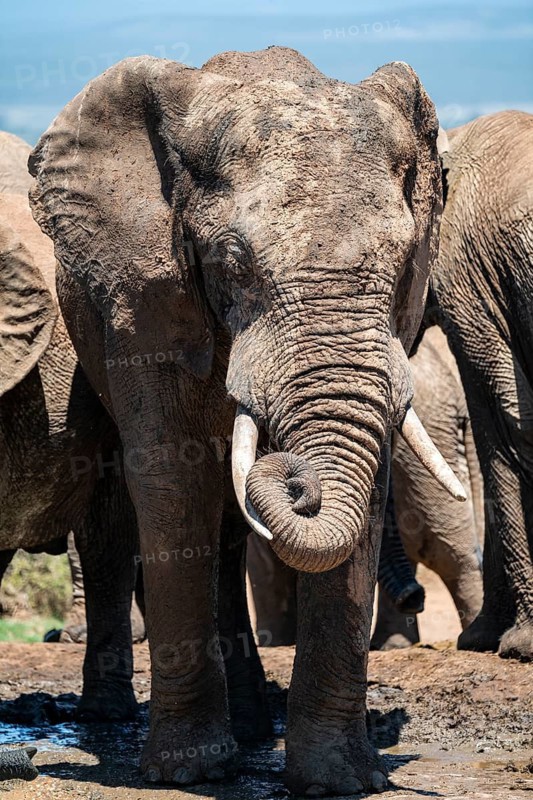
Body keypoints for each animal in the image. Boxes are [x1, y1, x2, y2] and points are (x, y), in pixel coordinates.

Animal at [28, 47, 463, 795]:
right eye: (233, 264)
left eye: (404, 260)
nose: (295, 477)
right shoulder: (140, 299)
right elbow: (170, 481)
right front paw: (187, 772)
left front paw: (338, 780)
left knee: (231, 535)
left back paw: (257, 726)